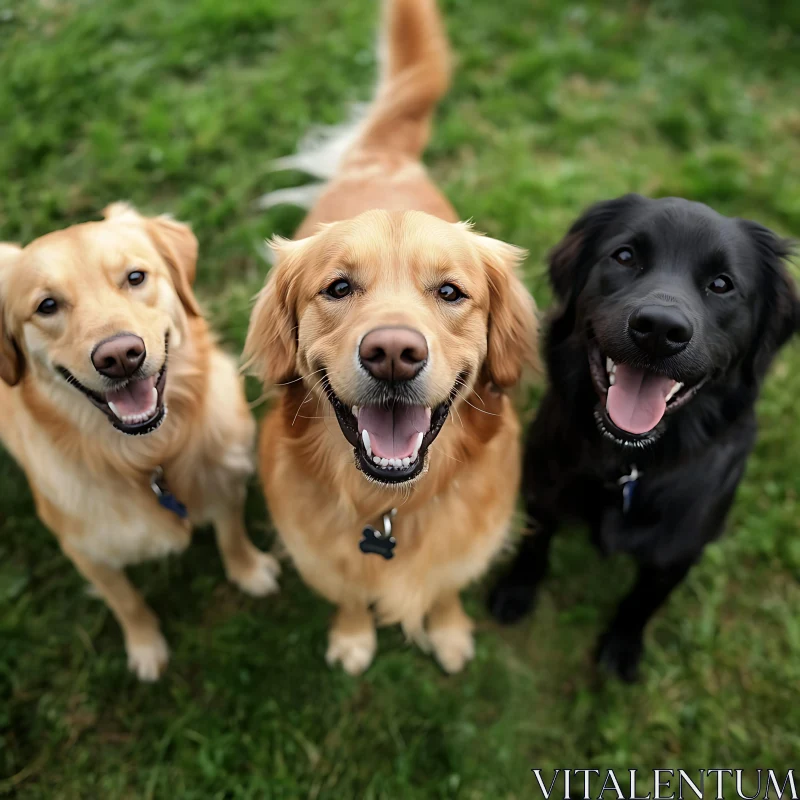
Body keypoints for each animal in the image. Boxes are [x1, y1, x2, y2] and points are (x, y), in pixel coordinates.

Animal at [0, 205, 282, 680]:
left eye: (135, 277)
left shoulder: (225, 481)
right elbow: (126, 601)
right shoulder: (86, 551)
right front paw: (146, 647)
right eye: (47, 305)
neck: (149, 457)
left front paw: (249, 571)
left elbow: (230, 534)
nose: (119, 357)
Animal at [245, 0, 536, 676]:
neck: (386, 509)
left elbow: (447, 587)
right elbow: (350, 594)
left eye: (451, 292)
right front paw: (353, 639)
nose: (394, 355)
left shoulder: (468, 544)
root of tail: (383, 155)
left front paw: (450, 631)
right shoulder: (321, 555)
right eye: (337, 287)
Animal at [490, 194, 796, 680]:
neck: (630, 462)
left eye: (722, 284)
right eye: (625, 256)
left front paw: (622, 646)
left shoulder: (678, 550)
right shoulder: (542, 490)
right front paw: (516, 591)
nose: (659, 330)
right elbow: (534, 544)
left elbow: (642, 601)